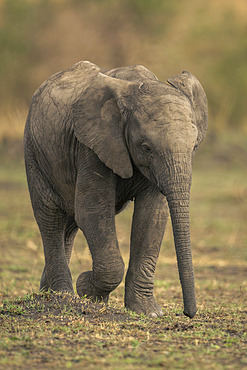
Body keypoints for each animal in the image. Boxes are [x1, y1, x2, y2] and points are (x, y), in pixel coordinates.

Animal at [24, 60, 207, 318]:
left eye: (194, 147)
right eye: (146, 147)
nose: (188, 313)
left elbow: (152, 216)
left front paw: (148, 312)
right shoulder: (90, 146)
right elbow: (92, 212)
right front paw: (87, 290)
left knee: (68, 225)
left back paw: (45, 295)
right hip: (34, 152)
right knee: (50, 217)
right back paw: (63, 297)